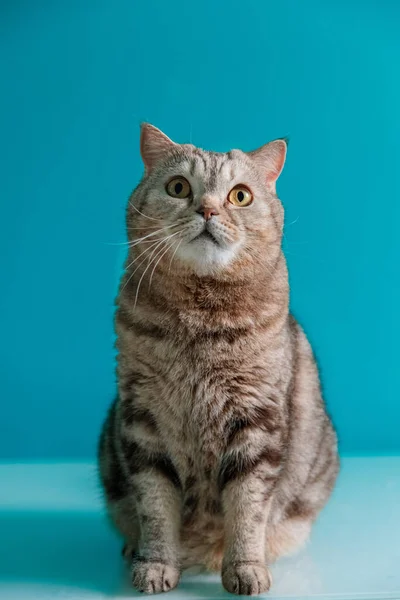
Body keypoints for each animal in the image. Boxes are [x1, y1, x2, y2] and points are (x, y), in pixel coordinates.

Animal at [98, 125, 340, 596]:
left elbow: (247, 509)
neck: (201, 325)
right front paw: (155, 565)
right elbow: (156, 507)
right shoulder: (143, 421)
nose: (208, 209)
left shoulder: (256, 424)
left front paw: (246, 568)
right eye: (178, 188)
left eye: (240, 196)